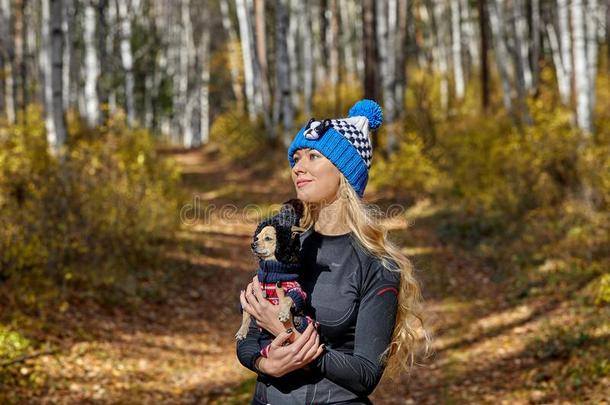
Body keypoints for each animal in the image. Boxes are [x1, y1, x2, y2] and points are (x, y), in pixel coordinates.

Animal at [234, 199, 314, 348]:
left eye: (268, 238)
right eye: (257, 238)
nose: (252, 244)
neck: (272, 270)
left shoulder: (296, 290)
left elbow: (288, 298)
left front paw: (283, 313)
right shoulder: (250, 294)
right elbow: (246, 313)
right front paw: (242, 331)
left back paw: (297, 320)